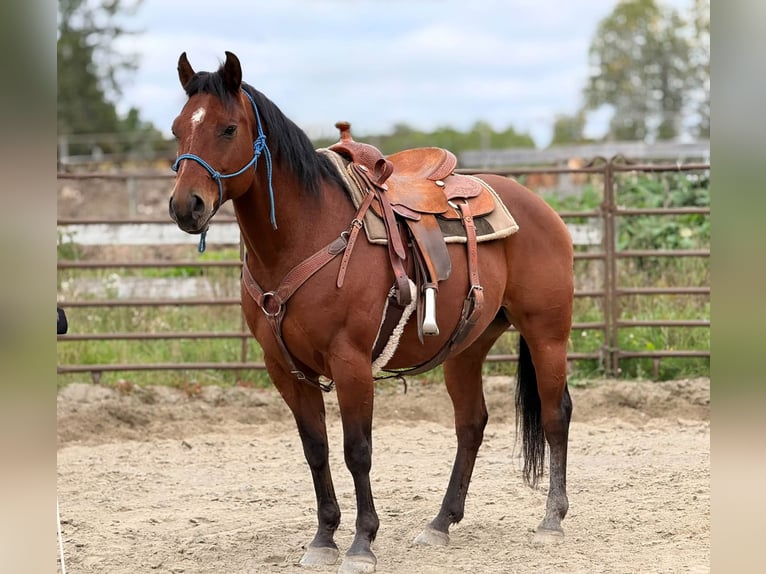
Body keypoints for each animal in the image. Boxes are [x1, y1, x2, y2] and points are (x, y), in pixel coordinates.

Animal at [168, 51, 573, 574]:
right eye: (177, 128)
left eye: (227, 129)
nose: (186, 206)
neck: (306, 234)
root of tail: (538, 206)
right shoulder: (285, 369)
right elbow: (316, 449)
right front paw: (323, 538)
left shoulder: (351, 362)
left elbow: (357, 450)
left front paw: (362, 543)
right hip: (466, 346)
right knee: (471, 424)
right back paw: (440, 523)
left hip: (547, 335)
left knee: (555, 414)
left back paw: (551, 520)